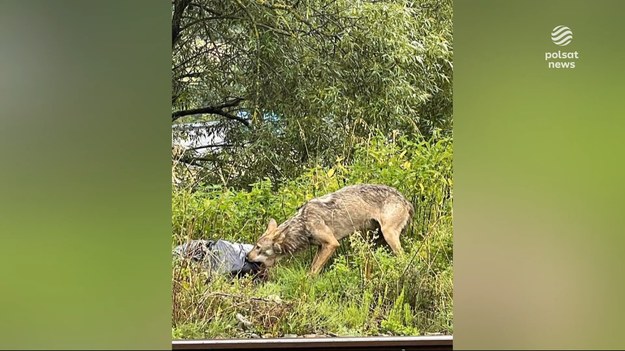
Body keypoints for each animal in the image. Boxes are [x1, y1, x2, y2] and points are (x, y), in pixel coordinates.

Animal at [245, 183, 414, 276]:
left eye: (258, 247)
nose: (246, 257)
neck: (303, 223)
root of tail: (405, 200)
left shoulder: (331, 244)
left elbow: (313, 271)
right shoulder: (321, 246)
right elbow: (313, 266)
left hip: (388, 235)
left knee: (404, 258)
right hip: (377, 239)